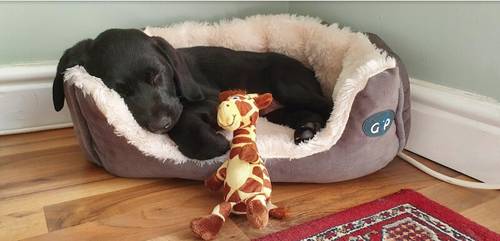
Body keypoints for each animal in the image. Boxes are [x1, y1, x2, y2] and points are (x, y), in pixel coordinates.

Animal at [53, 28, 332, 160]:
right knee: (306, 113)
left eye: (157, 75)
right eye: (119, 91)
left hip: (287, 85)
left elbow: (184, 115)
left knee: (328, 105)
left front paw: (208, 144)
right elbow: (182, 116)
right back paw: (307, 130)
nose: (159, 125)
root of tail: (308, 69)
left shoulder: (215, 98)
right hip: (279, 112)